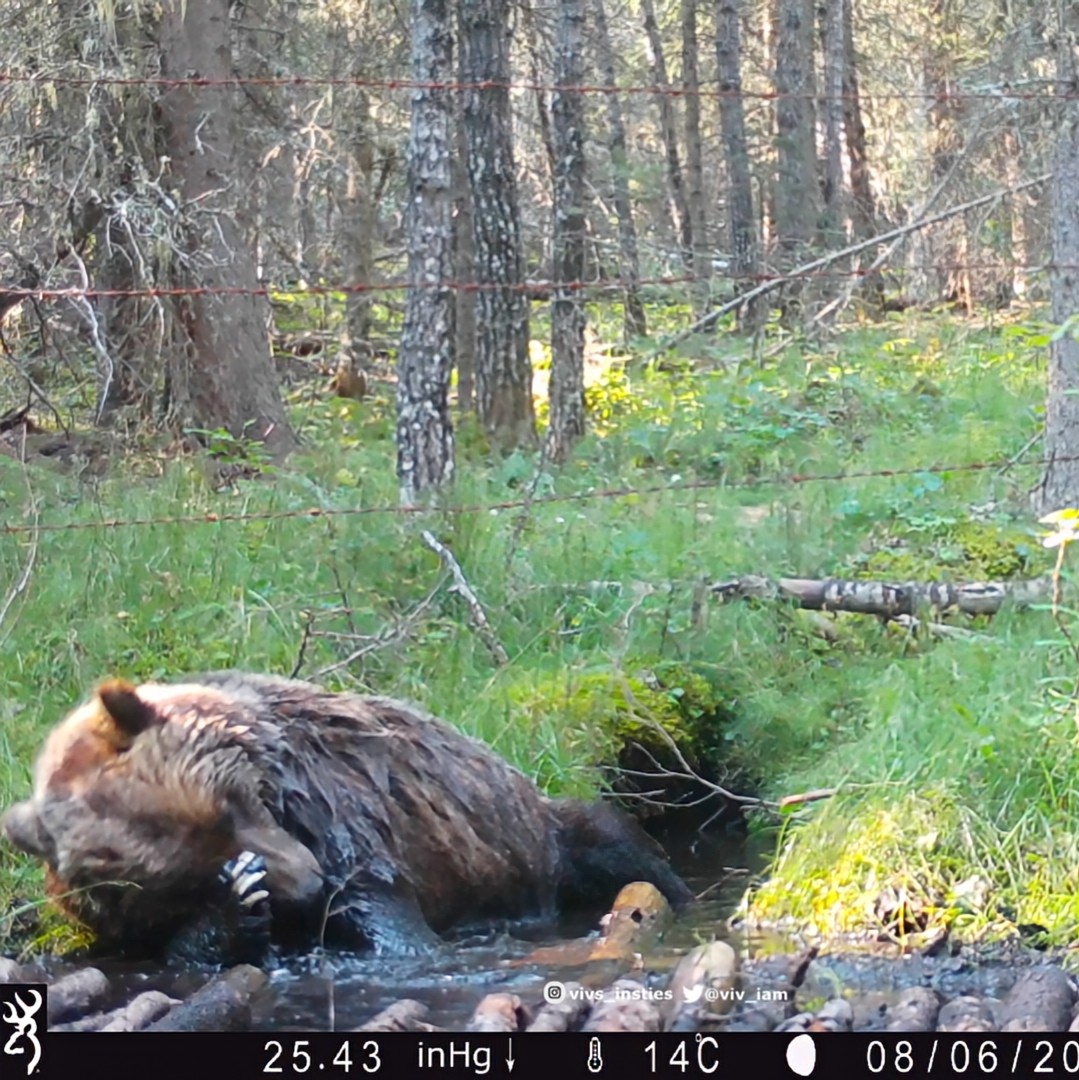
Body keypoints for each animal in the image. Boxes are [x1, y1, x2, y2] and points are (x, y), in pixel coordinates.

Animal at [2, 672, 693, 964]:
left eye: (234, 806)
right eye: (184, 875)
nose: (308, 881)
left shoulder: (343, 816)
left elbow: (389, 919)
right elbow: (181, 950)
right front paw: (237, 908)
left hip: (539, 833)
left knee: (611, 844)